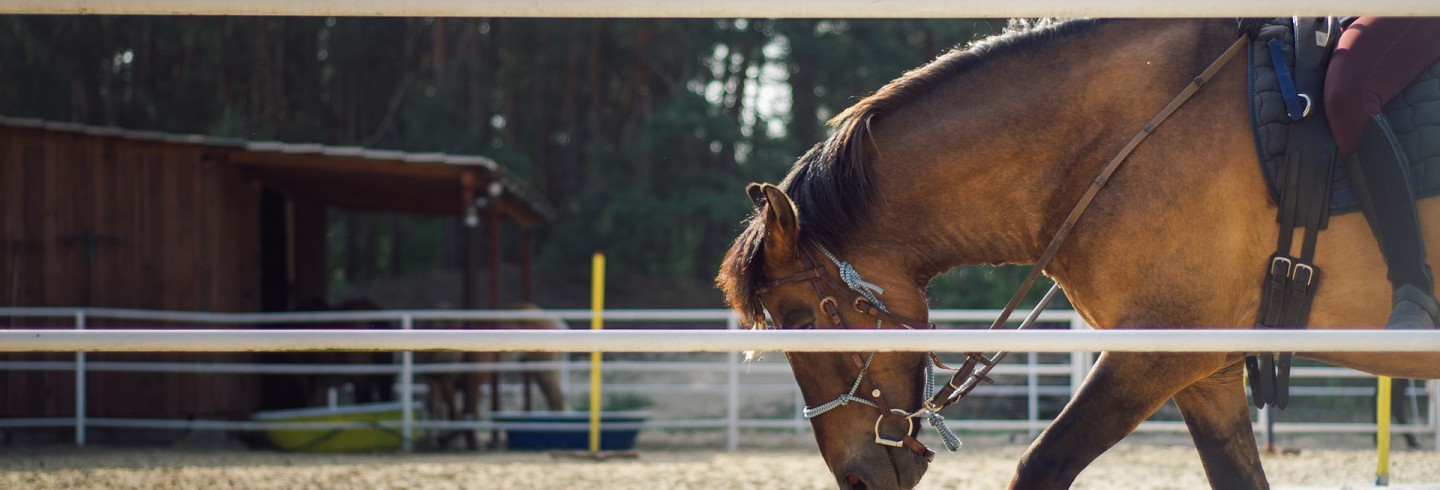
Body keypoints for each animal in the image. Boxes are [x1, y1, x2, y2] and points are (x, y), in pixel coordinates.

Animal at [417, 298, 567, 446]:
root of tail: (556, 321)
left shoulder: (462, 381)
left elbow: (462, 411)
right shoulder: (440, 382)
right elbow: (443, 408)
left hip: (544, 370)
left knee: (556, 398)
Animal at [720, 18, 1440, 489]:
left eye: (801, 321)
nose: (857, 479)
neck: (1123, 138)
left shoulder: (1151, 354)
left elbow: (1040, 465)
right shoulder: (1202, 372)